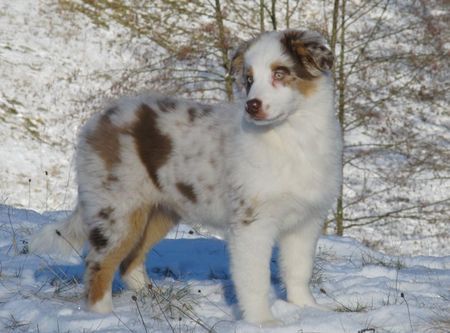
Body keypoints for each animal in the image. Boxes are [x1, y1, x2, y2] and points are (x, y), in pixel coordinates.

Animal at [30, 29, 342, 324]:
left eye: (280, 73)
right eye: (249, 79)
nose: (251, 105)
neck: (291, 136)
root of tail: (97, 121)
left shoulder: (306, 220)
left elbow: (299, 270)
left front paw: (308, 309)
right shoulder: (251, 223)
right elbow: (254, 278)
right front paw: (262, 321)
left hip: (159, 210)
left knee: (130, 261)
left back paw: (152, 298)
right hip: (119, 208)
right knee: (99, 264)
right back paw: (101, 315)